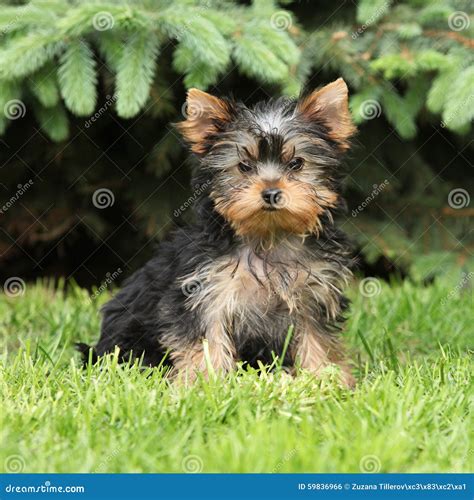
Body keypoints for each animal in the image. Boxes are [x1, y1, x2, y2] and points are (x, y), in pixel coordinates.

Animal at [80, 78, 356, 386]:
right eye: (244, 166)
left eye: (296, 164)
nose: (272, 192)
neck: (268, 236)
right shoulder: (204, 292)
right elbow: (206, 338)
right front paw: (204, 382)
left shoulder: (312, 294)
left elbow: (315, 336)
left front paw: (324, 377)